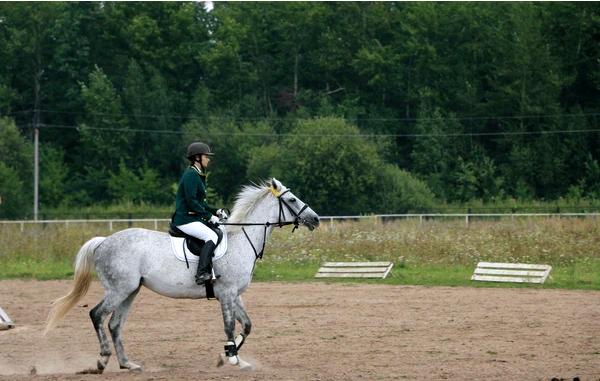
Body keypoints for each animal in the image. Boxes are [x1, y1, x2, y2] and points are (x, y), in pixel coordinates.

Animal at [45, 178, 322, 372]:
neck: (241, 239)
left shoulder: (236, 295)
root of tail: (103, 242)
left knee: (114, 324)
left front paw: (229, 356)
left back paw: (127, 364)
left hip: (130, 291)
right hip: (118, 289)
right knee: (97, 315)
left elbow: (247, 325)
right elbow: (229, 325)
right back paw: (102, 360)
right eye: (293, 200)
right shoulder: (226, 293)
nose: (316, 219)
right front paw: (231, 357)